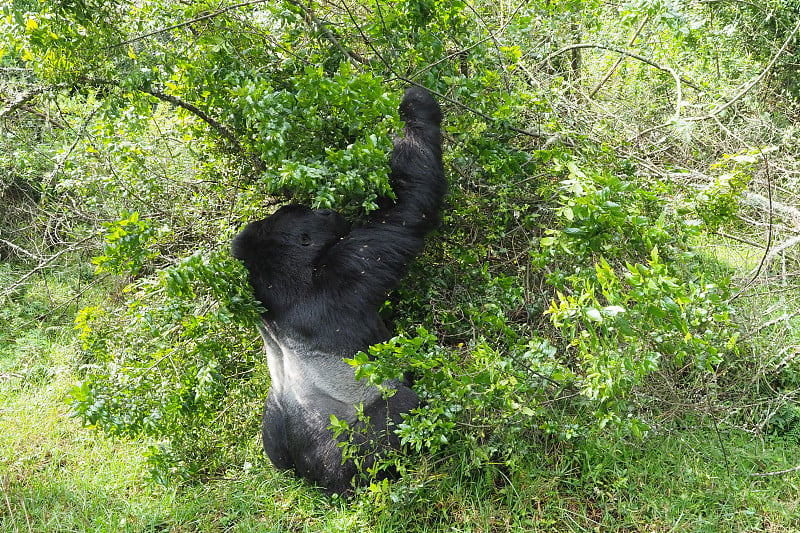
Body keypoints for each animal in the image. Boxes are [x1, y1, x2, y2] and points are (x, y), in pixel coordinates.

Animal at [231, 88, 446, 494]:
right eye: (317, 214)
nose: (330, 211)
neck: (282, 285)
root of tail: (310, 479)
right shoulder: (348, 267)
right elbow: (411, 204)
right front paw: (416, 108)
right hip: (345, 464)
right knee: (402, 409)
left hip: (276, 450)